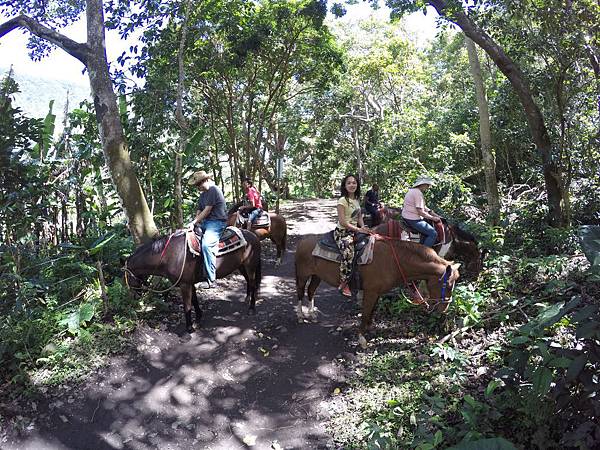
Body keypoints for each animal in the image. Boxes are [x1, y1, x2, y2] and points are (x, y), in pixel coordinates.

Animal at [123, 230, 260, 332]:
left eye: (127, 278)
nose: (133, 297)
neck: (169, 255)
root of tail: (253, 235)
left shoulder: (185, 285)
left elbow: (187, 305)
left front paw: (189, 328)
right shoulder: (190, 283)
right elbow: (194, 301)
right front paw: (198, 319)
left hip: (250, 265)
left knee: (253, 283)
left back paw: (252, 308)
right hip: (241, 266)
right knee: (249, 281)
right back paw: (247, 298)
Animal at [296, 236, 460, 348]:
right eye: (448, 285)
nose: (444, 308)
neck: (393, 262)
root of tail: (303, 241)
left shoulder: (377, 293)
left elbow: (372, 311)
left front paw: (369, 328)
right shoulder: (371, 292)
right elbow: (366, 313)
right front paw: (362, 339)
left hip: (317, 276)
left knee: (311, 291)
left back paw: (312, 315)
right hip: (303, 275)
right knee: (300, 292)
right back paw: (301, 316)